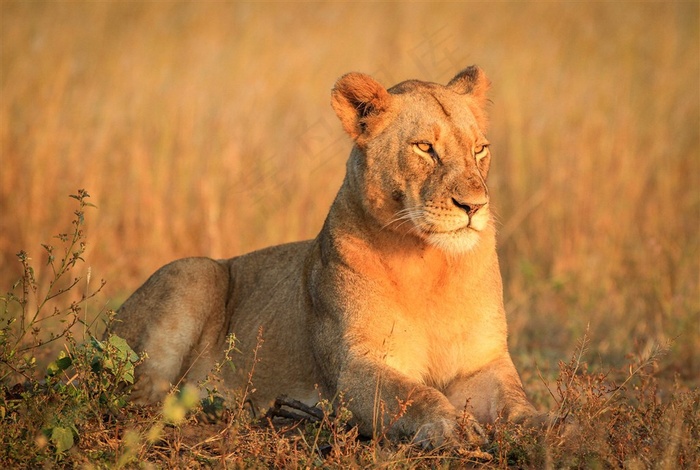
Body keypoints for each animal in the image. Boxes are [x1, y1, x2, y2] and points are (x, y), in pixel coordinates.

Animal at [109, 65, 540, 444]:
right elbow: (417, 395)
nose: (474, 206)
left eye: (480, 149)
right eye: (425, 148)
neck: (431, 263)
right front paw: (454, 427)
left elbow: (513, 398)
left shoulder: (483, 362)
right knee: (140, 396)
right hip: (193, 271)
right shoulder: (354, 367)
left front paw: (543, 426)